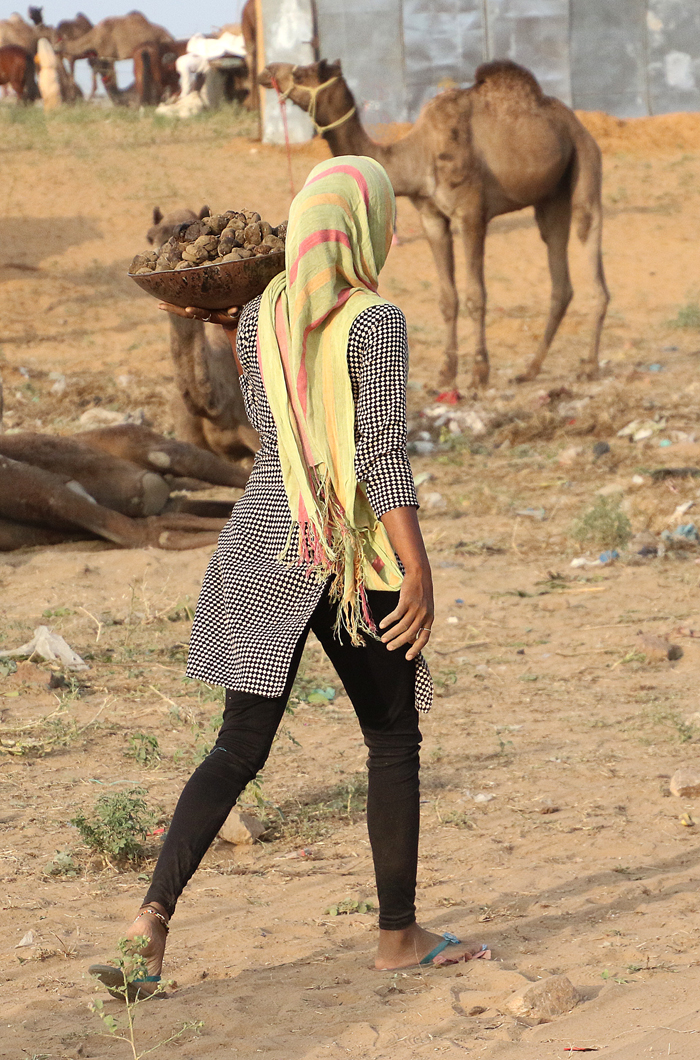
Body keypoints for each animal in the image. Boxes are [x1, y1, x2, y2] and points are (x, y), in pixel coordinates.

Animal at [259, 59, 610, 390]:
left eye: (302, 72)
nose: (267, 71)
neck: (417, 157)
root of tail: (577, 124)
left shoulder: (471, 213)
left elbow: (475, 296)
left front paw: (479, 373)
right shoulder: (431, 216)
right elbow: (447, 298)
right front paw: (446, 374)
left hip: (585, 161)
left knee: (589, 234)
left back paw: (590, 366)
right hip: (550, 197)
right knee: (559, 276)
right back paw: (530, 370)